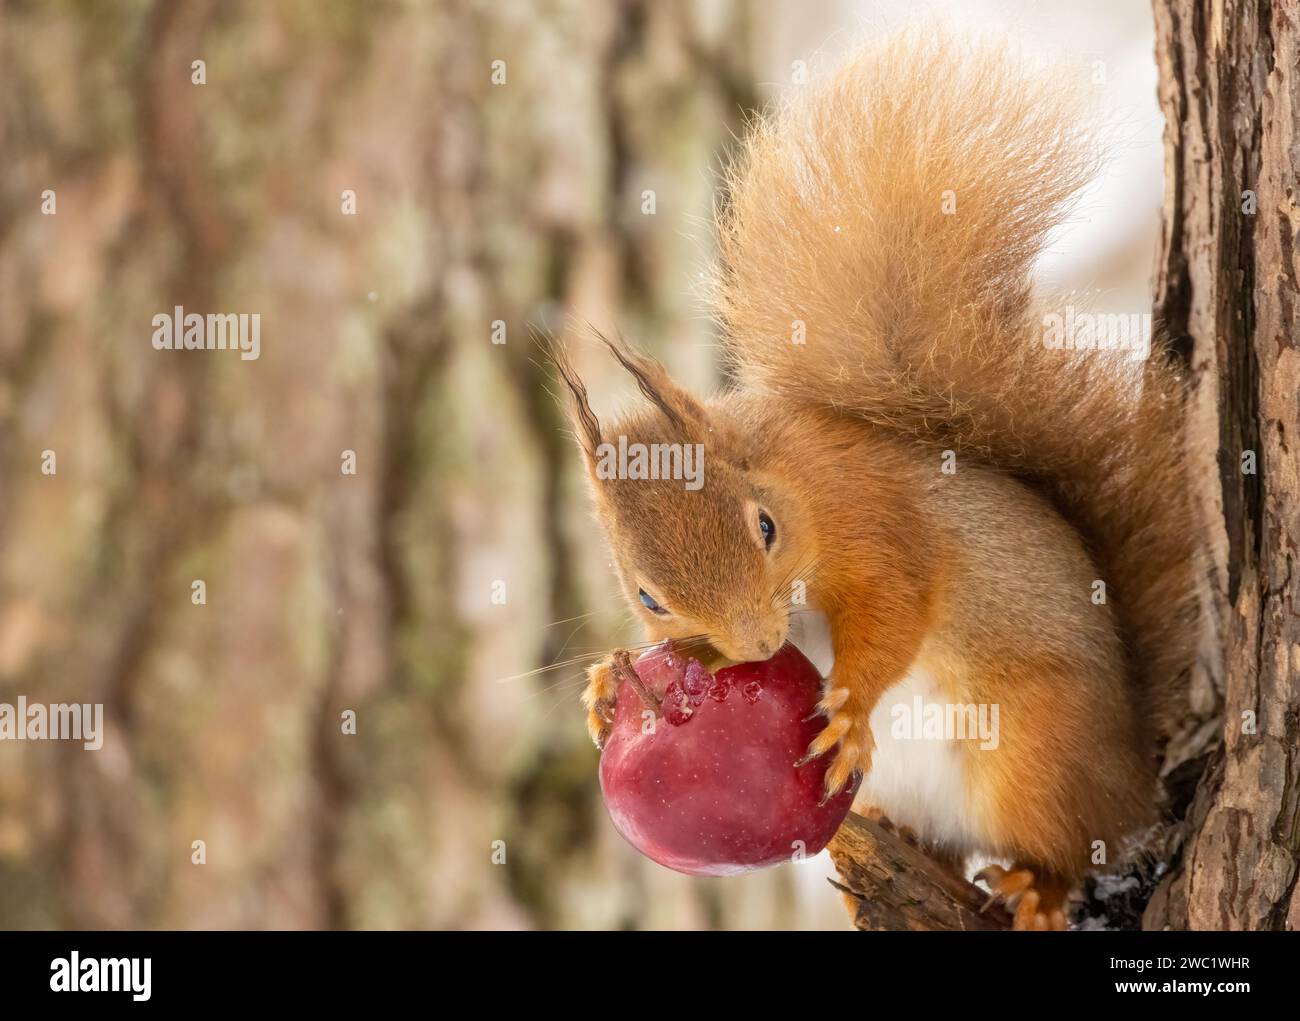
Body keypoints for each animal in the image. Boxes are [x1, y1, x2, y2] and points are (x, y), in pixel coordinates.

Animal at [546, 31, 1196, 926]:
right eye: (648, 596)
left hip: (1035, 754)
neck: (792, 476)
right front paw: (608, 686)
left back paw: (1039, 886)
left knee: (1071, 839)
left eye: (765, 527)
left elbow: (895, 604)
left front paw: (849, 706)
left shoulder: (878, 516)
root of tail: (1132, 761)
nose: (759, 646)